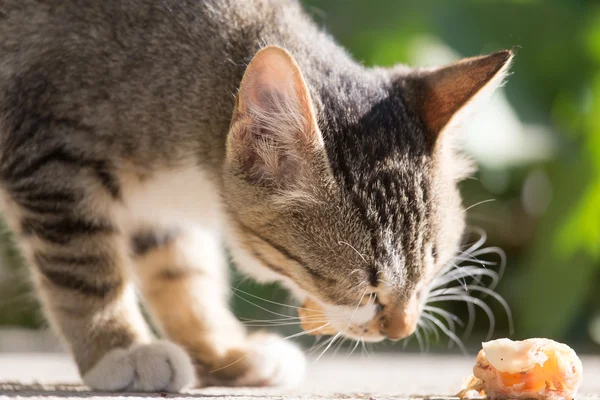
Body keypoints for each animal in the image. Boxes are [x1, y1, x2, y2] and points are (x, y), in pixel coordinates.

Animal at [0, 0, 510, 392]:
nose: (401, 330)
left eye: (431, 269)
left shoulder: (160, 205)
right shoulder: (47, 154)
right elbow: (85, 267)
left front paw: (224, 348)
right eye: (364, 287)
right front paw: (120, 348)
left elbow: (182, 268)